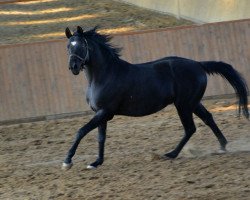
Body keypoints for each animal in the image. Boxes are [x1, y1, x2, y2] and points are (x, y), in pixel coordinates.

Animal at [61, 25, 249, 170]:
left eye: (81, 46)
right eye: (68, 46)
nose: (73, 67)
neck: (105, 75)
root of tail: (198, 65)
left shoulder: (105, 112)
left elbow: (81, 131)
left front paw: (67, 161)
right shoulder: (101, 113)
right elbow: (101, 138)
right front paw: (96, 162)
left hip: (183, 105)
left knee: (190, 128)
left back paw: (171, 154)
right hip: (193, 103)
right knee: (208, 119)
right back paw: (223, 146)